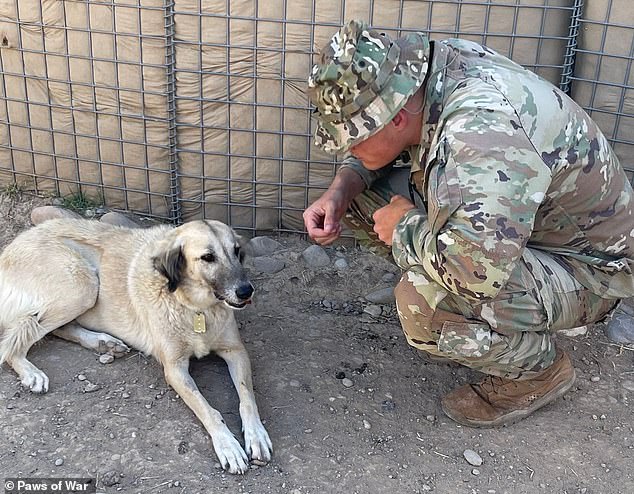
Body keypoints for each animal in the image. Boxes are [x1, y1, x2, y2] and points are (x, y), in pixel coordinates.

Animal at [0, 218, 270, 472]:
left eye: (236, 251)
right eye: (208, 257)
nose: (246, 291)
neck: (195, 308)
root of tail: (12, 247)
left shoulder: (236, 351)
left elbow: (247, 397)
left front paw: (256, 434)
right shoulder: (174, 369)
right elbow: (206, 409)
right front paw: (228, 445)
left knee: (56, 329)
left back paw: (103, 343)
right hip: (83, 285)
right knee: (16, 339)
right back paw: (32, 372)